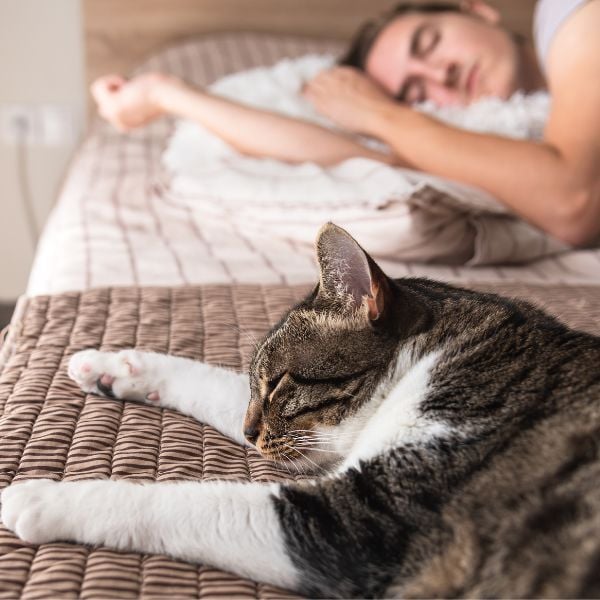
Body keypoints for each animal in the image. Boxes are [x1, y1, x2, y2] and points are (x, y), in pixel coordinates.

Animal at [1, 223, 600, 596]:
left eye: (280, 384)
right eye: (257, 386)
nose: (249, 432)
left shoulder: (358, 520)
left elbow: (181, 503)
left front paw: (39, 496)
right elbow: (208, 381)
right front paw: (115, 366)